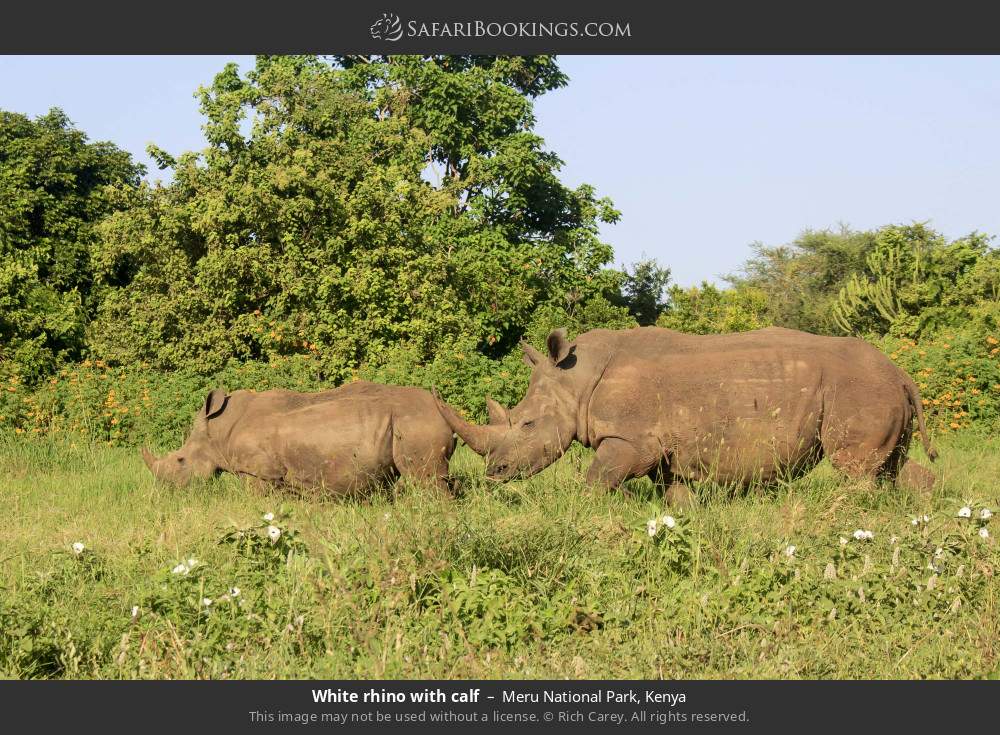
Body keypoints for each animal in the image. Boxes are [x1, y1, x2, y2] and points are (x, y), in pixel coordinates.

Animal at [139, 382, 456, 498]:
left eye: (181, 461)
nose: (166, 491)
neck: (218, 430)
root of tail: (439, 407)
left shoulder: (259, 473)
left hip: (414, 424)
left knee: (426, 480)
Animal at [436, 328, 936, 506]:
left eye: (527, 424)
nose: (494, 473)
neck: (576, 381)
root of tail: (901, 372)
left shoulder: (630, 440)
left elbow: (597, 480)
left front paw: (602, 507)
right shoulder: (666, 451)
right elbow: (676, 497)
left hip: (858, 389)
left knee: (856, 467)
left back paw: (844, 514)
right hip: (878, 390)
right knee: (892, 465)